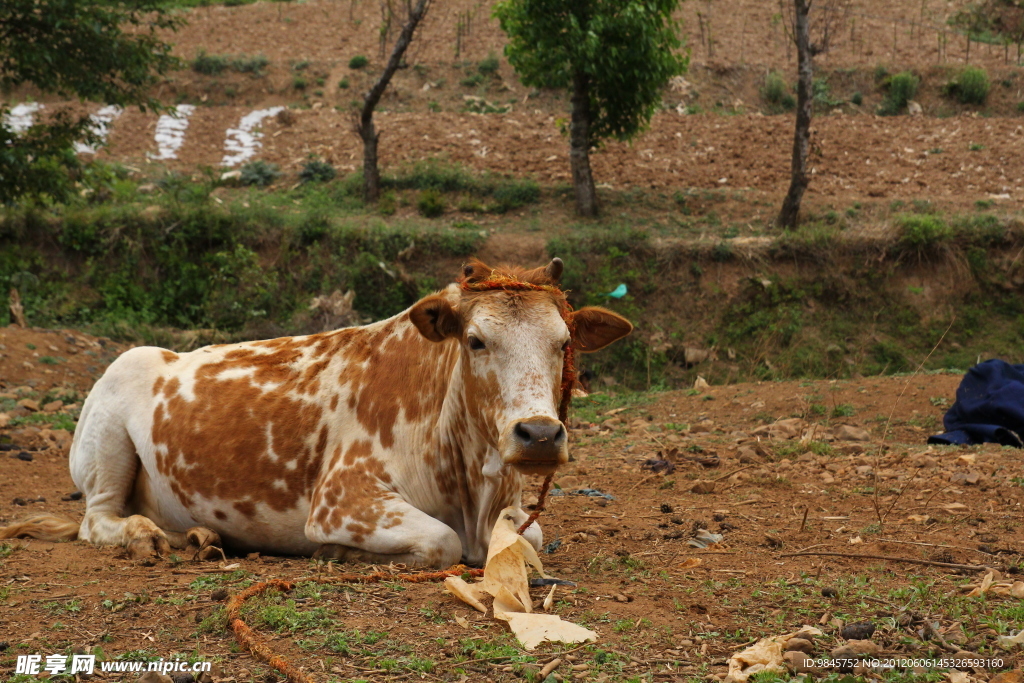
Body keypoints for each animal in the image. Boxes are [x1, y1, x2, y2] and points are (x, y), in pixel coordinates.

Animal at [2, 259, 630, 569]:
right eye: (475, 341)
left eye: (565, 342)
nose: (539, 434)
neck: (476, 486)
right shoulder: (342, 501)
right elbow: (441, 542)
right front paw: (334, 554)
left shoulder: (512, 513)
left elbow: (532, 537)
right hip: (106, 444)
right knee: (97, 519)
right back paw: (144, 537)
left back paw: (198, 536)